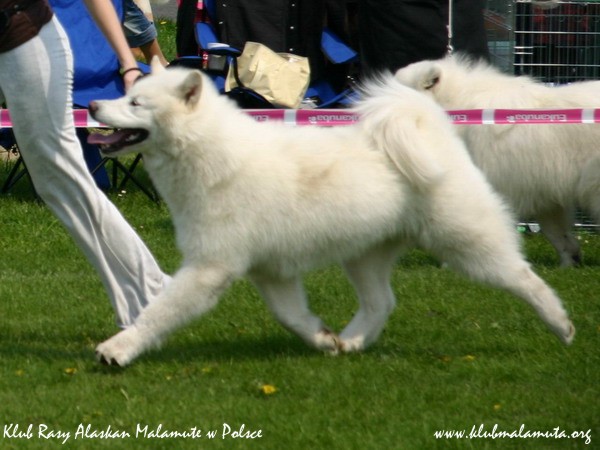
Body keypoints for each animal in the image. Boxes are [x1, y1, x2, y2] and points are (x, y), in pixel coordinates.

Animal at [87, 59, 574, 366]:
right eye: (128, 94)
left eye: (136, 104)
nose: (91, 105)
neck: (210, 153)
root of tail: (430, 125)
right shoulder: (271, 271)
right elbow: (291, 316)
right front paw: (322, 338)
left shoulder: (209, 268)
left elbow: (158, 312)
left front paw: (118, 348)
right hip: (364, 255)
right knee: (381, 302)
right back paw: (352, 342)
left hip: (466, 242)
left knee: (522, 275)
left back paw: (562, 324)